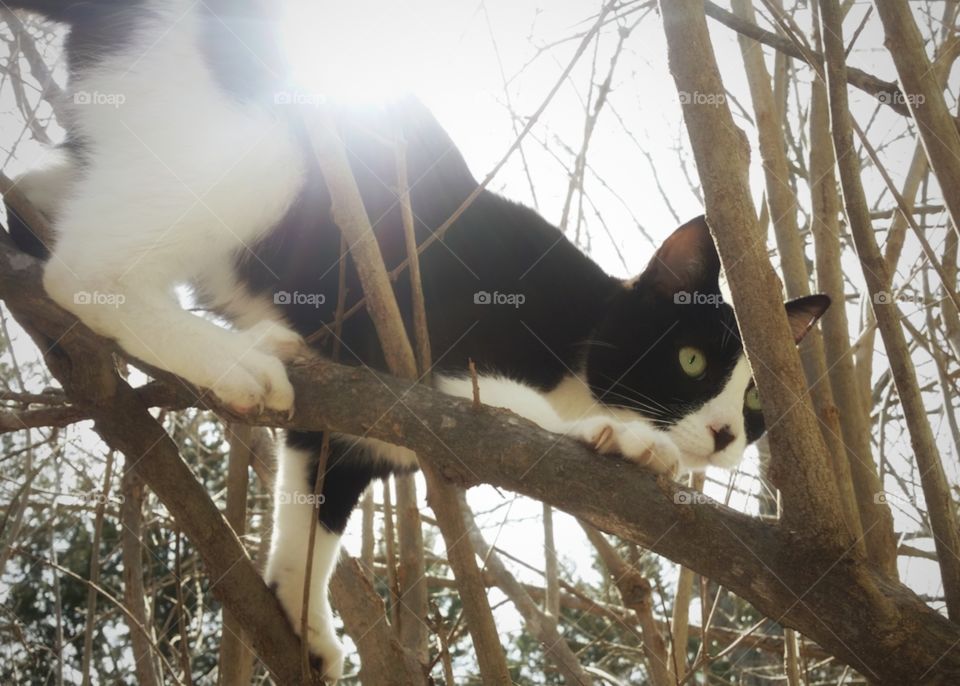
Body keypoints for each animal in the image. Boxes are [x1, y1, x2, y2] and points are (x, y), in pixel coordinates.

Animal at [3, 0, 824, 680]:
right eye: (690, 360)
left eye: (756, 402)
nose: (724, 434)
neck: (582, 336)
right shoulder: (422, 336)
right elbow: (506, 409)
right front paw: (621, 437)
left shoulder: (347, 425)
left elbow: (314, 508)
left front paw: (301, 620)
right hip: (259, 147)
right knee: (87, 270)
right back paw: (229, 358)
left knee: (42, 193)